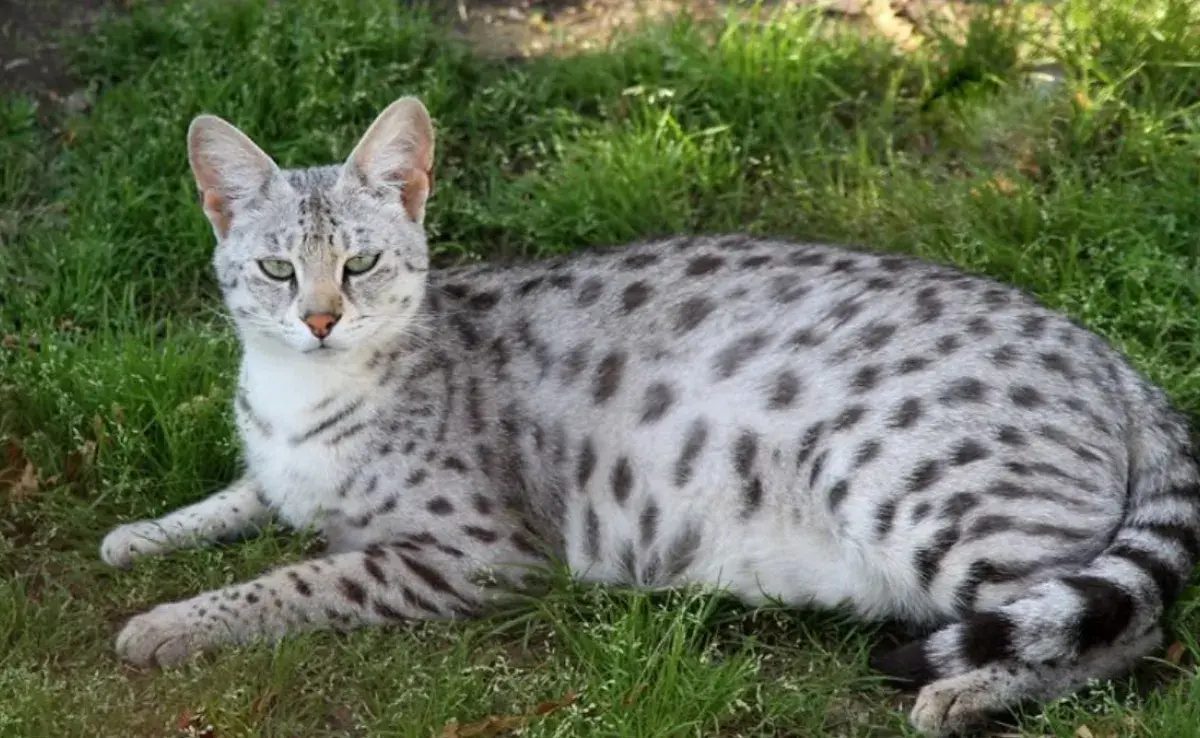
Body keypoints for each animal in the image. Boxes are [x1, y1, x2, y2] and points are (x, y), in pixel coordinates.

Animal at [100, 95, 1200, 734]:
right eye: (276, 269)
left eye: (361, 263)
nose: (320, 318)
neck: (297, 393)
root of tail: (1113, 356)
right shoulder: (279, 471)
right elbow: (239, 497)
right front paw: (143, 535)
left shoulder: (472, 553)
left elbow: (297, 580)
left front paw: (171, 622)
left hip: (919, 494)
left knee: (1126, 628)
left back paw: (970, 695)